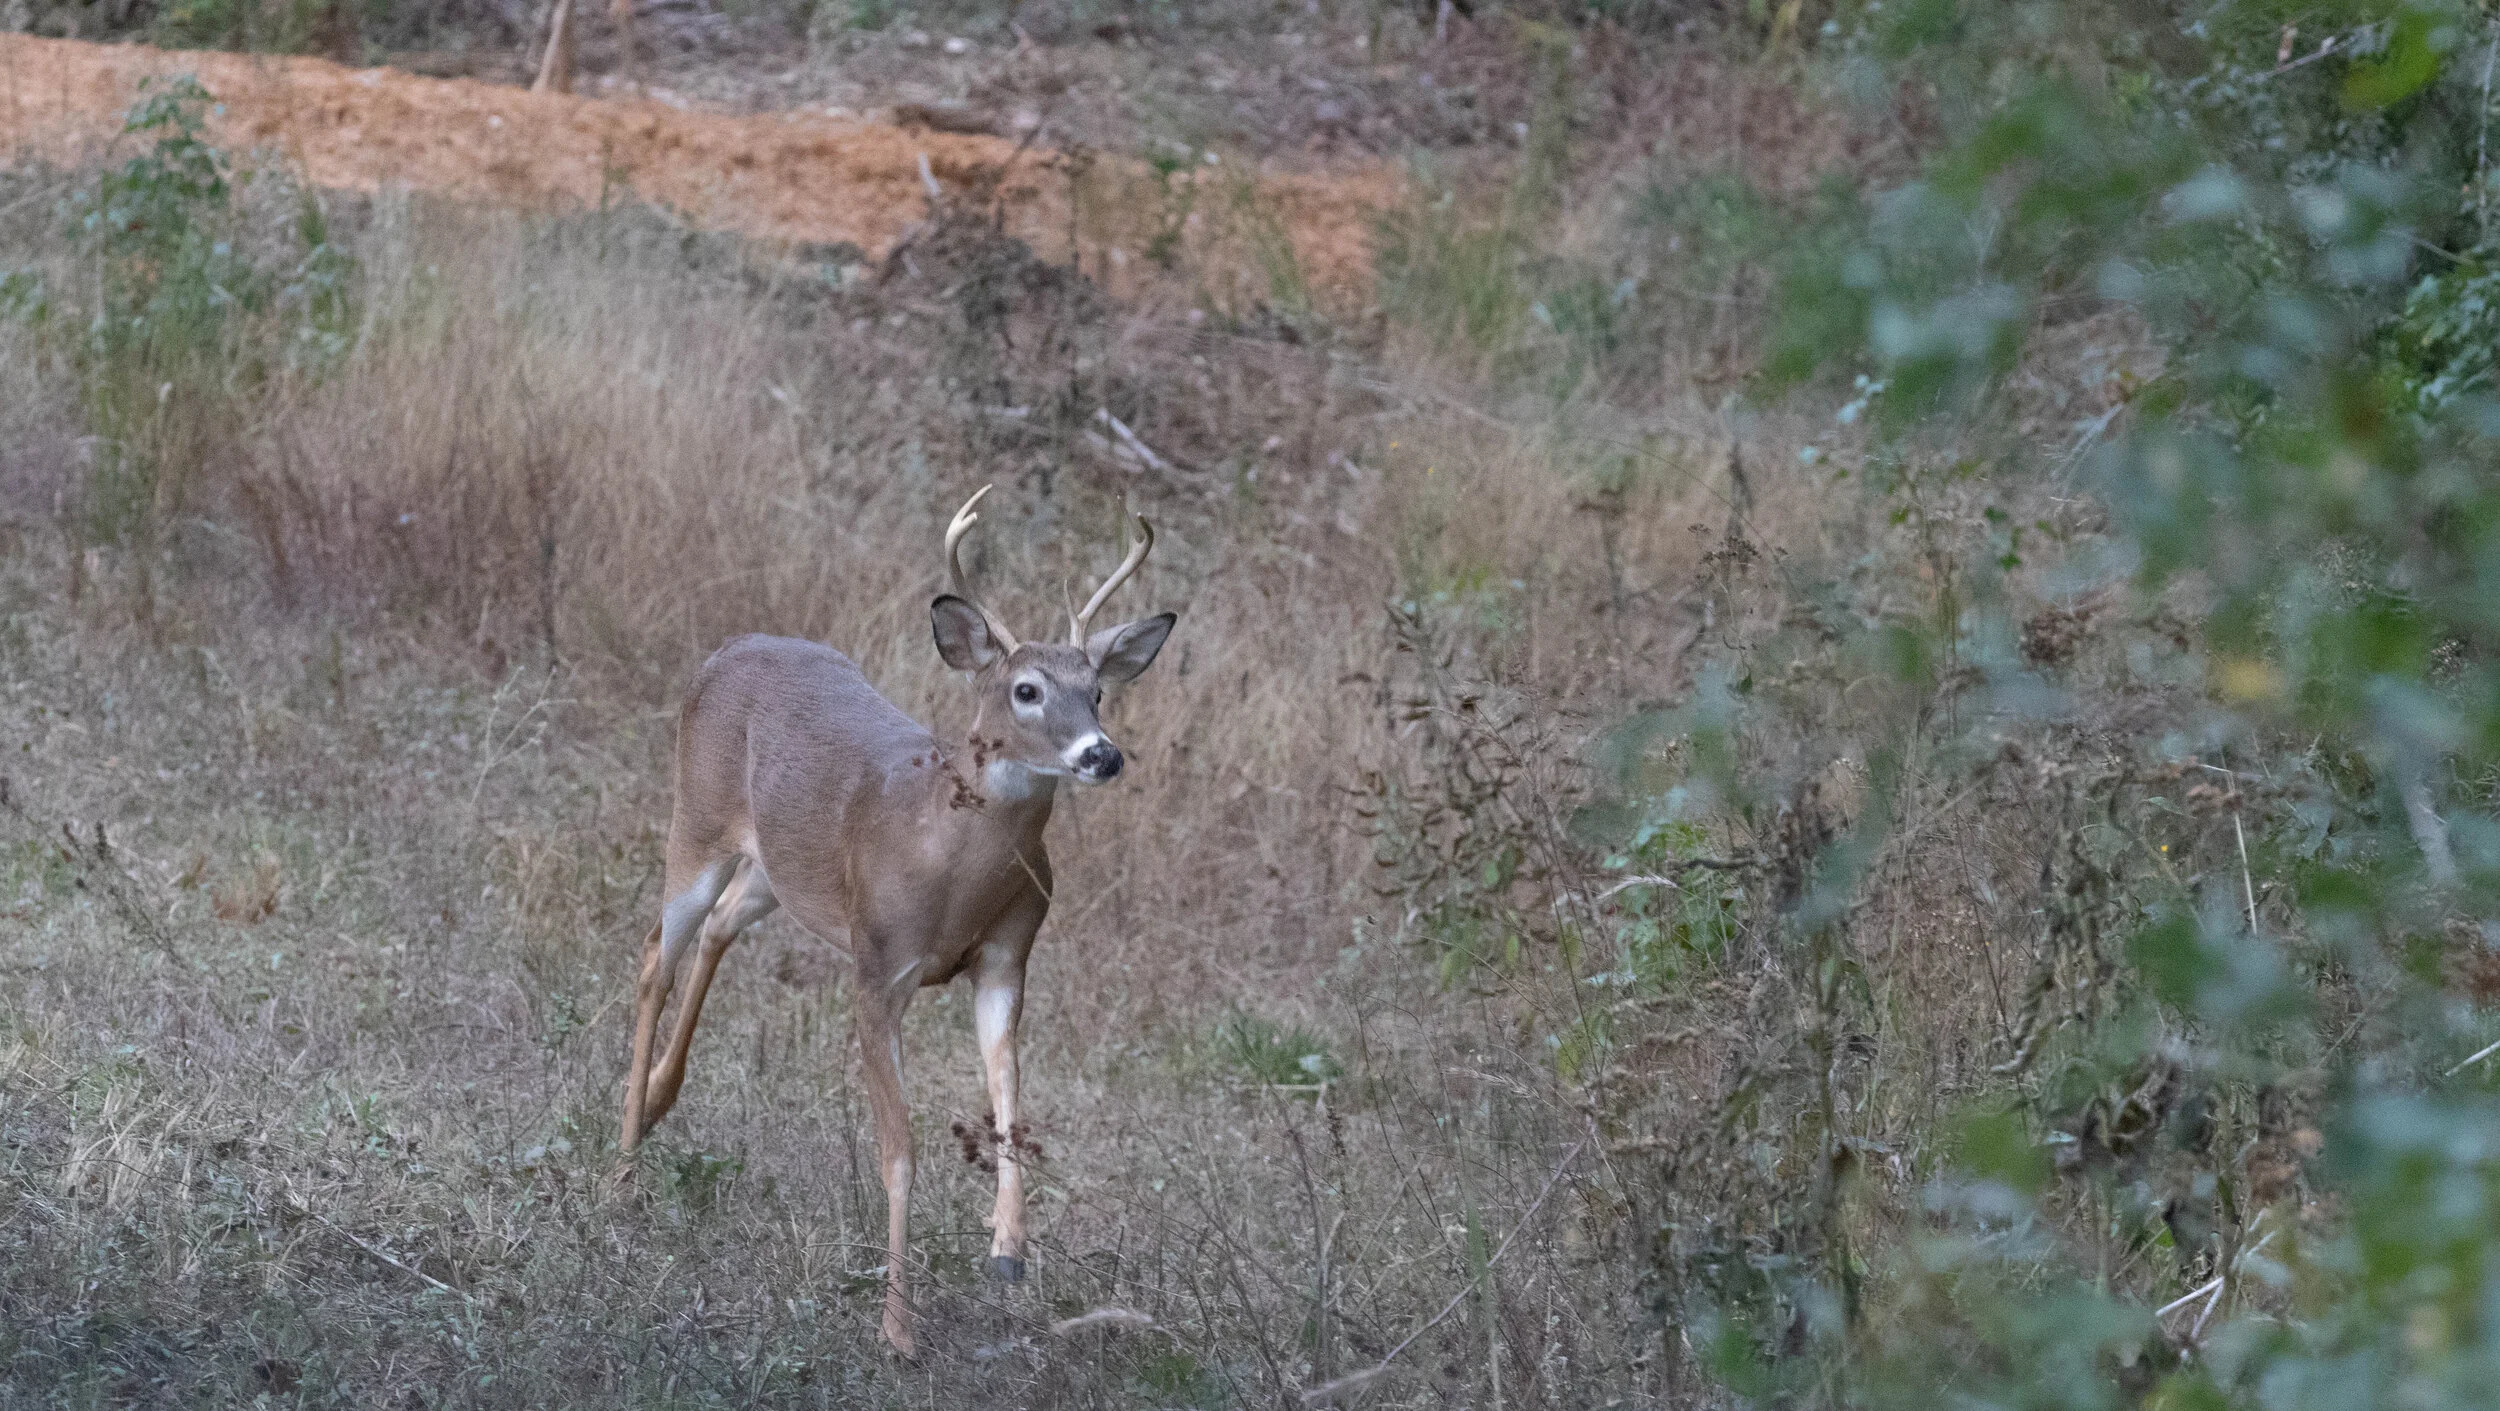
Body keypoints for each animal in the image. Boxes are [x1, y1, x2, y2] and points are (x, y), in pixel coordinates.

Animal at [614, 486, 1175, 1357]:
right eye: (1026, 689)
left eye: (1100, 691)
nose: (1102, 754)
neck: (948, 863)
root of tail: (730, 647)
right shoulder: (877, 968)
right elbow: (899, 1152)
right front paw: (898, 1327)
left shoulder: (1007, 956)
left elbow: (1008, 1107)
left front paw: (1008, 1250)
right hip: (696, 820)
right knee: (653, 953)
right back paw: (622, 1167)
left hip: (780, 869)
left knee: (720, 927)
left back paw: (658, 1100)